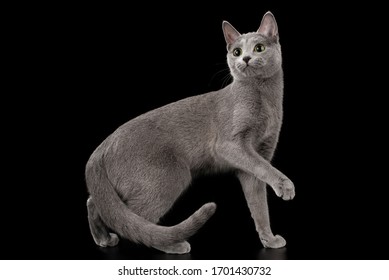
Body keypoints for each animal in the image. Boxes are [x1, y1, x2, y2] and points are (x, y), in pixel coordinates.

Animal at [85, 11, 294, 254]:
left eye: (259, 48)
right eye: (236, 52)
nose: (246, 59)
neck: (265, 99)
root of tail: (101, 148)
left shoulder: (256, 159)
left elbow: (259, 206)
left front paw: (269, 239)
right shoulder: (230, 145)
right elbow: (265, 169)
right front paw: (285, 186)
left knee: (97, 203)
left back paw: (103, 239)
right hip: (171, 175)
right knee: (135, 222)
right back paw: (173, 244)